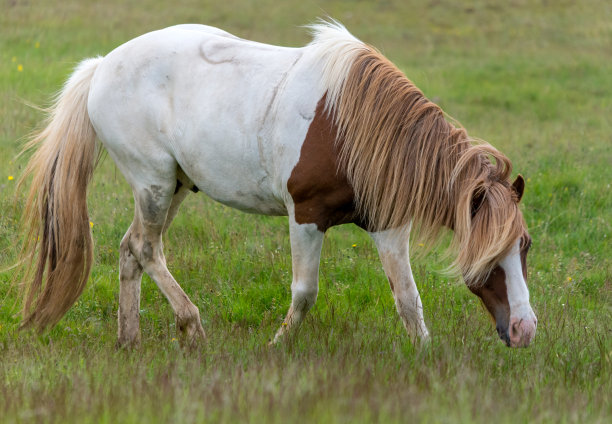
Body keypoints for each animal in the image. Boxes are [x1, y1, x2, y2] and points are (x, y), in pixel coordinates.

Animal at [16, 20, 536, 348]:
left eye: (525, 246)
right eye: (490, 251)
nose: (525, 329)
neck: (356, 128)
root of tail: (102, 66)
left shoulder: (388, 226)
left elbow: (408, 299)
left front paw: (424, 356)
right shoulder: (305, 218)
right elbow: (304, 293)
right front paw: (277, 345)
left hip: (174, 187)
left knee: (130, 249)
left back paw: (130, 340)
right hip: (154, 183)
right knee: (146, 249)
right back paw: (191, 326)